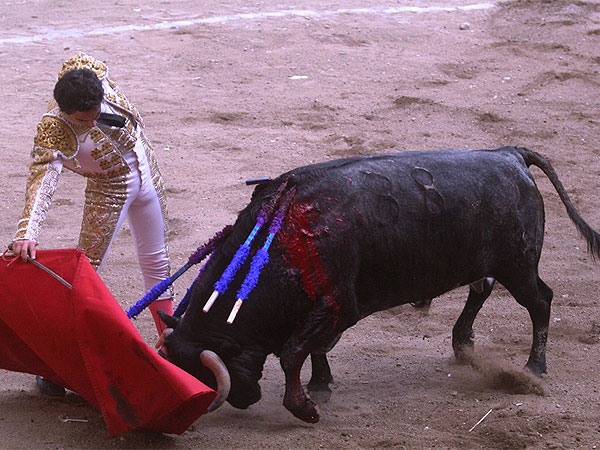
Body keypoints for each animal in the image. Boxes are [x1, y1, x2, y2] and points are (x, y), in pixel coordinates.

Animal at [159, 147, 600, 422]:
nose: (243, 398)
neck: (285, 238)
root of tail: (508, 154)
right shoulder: (329, 312)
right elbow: (315, 349)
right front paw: (321, 384)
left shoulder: (337, 305)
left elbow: (292, 353)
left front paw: (305, 406)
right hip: (487, 261)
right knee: (482, 287)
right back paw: (462, 343)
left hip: (519, 265)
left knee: (540, 301)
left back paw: (534, 368)